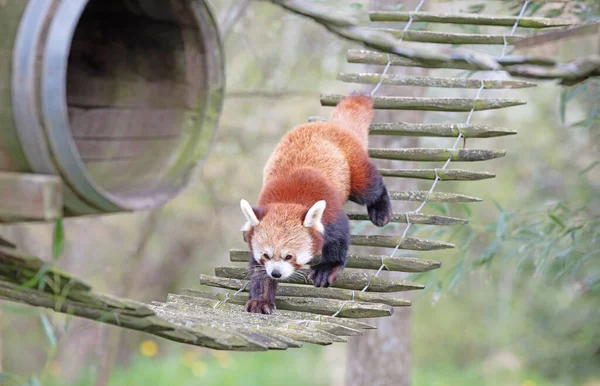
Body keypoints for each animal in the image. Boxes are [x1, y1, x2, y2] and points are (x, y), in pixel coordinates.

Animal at [241, 93, 392, 314]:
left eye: (289, 256)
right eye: (266, 255)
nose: (276, 273)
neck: (289, 200)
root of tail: (332, 125)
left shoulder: (330, 210)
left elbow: (338, 239)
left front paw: (327, 268)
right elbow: (259, 272)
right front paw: (261, 299)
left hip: (354, 169)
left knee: (369, 187)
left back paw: (381, 210)